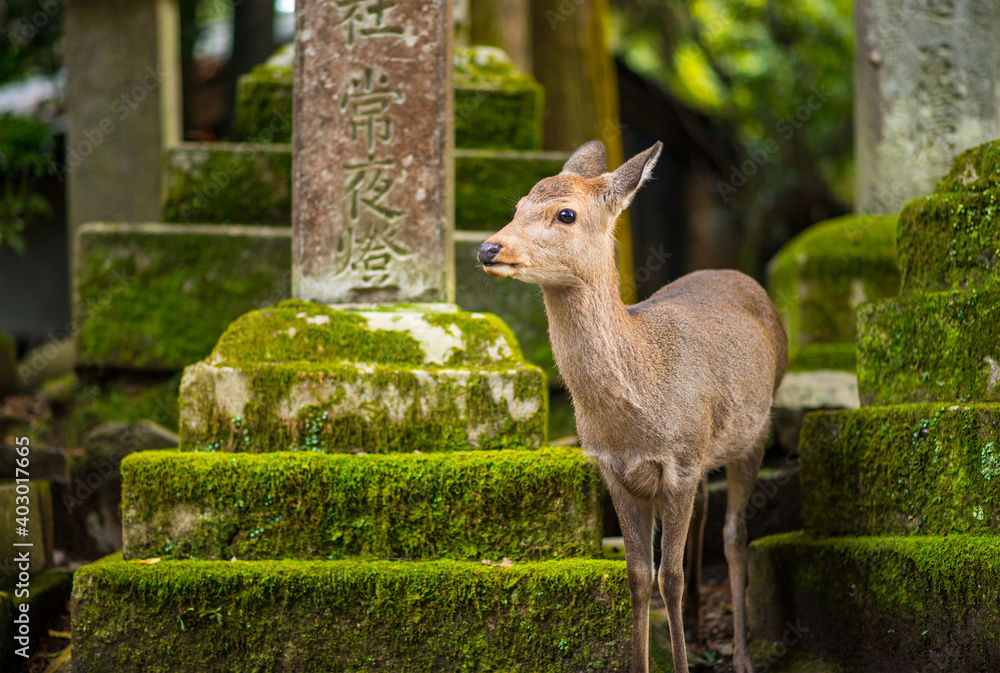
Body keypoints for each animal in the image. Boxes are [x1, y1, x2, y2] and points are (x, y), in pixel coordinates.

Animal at [478, 140, 787, 673]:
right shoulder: (615, 470)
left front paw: (682, 664)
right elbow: (639, 576)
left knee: (733, 535)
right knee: (707, 514)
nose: (488, 248)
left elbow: (671, 576)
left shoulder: (680, 460)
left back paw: (743, 655)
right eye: (517, 206)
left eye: (566, 213)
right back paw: (701, 625)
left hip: (755, 433)